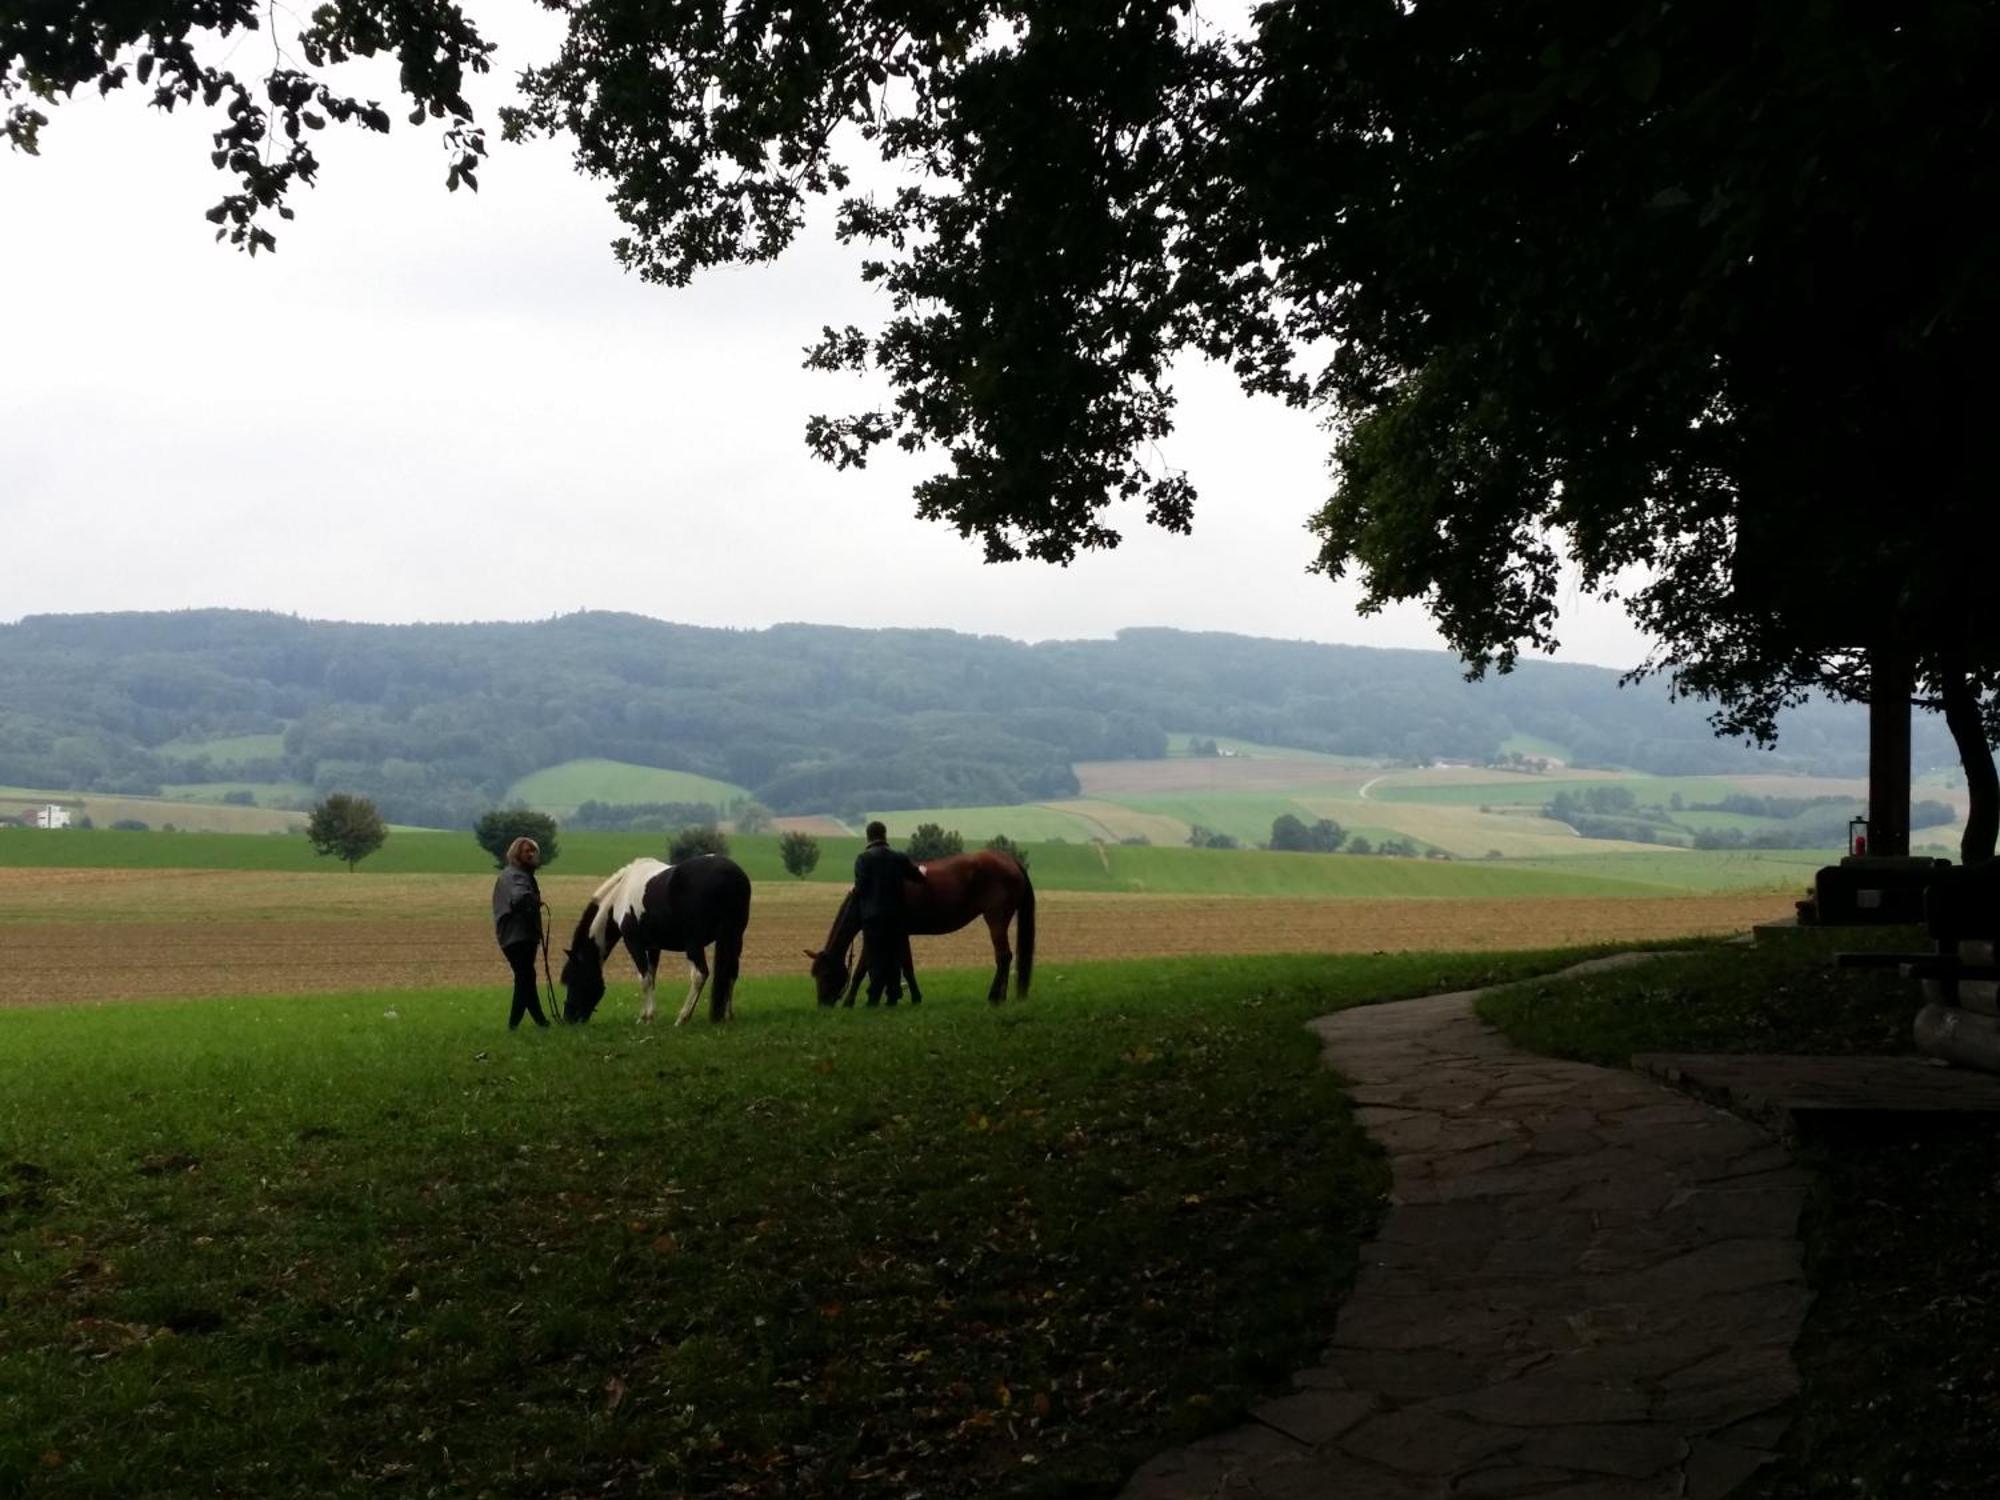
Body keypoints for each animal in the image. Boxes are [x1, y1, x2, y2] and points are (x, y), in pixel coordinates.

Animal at [560, 856, 752, 1024]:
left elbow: (644, 979)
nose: (568, 1018)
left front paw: (646, 1017)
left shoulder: (634, 943)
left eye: (573, 979)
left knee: (700, 974)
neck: (621, 893)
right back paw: (728, 1016)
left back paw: (682, 1018)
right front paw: (647, 1016)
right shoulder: (653, 946)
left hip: (694, 944)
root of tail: (730, 875)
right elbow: (652, 976)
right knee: (731, 972)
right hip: (735, 938)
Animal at [808, 856, 1040, 1012]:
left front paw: (850, 1001)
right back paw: (1001, 997)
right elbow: (905, 966)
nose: (822, 1005)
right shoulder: (900, 935)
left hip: (996, 918)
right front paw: (906, 997)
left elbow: (862, 969)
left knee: (1003, 956)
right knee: (1006, 958)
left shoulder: (877, 936)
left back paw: (993, 997)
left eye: (826, 974)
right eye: (815, 974)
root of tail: (1011, 861)